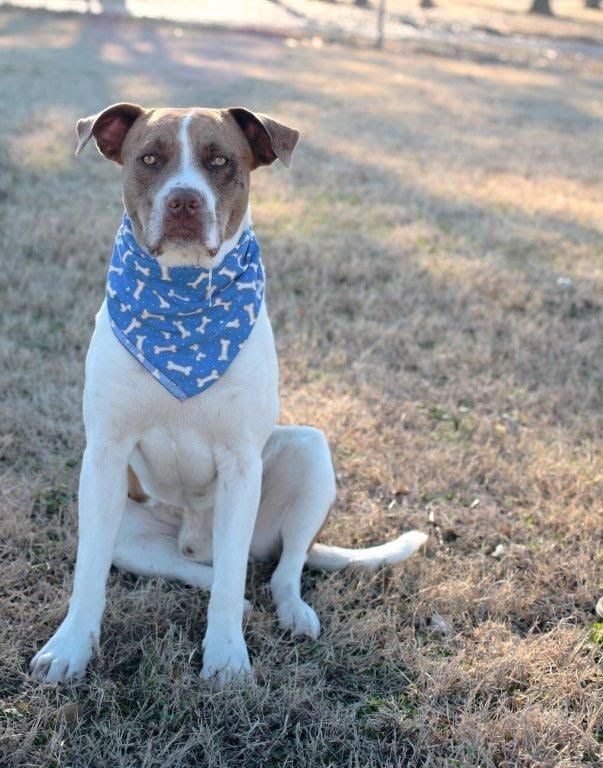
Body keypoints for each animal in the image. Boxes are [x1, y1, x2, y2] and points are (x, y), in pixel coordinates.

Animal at [29, 105, 430, 688]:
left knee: (276, 567)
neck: (183, 304)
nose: (184, 200)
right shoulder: (103, 457)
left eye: (220, 162)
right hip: (125, 523)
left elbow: (237, 576)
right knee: (193, 569)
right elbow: (88, 576)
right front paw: (70, 648)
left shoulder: (242, 465)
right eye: (149, 159)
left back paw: (291, 611)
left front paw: (225, 659)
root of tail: (194, 536)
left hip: (308, 455)